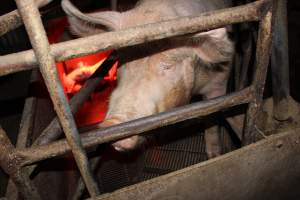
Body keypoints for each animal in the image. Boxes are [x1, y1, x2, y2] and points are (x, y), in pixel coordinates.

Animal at [61, 0, 234, 157]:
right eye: (123, 60)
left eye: (168, 65)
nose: (114, 122)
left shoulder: (220, 81)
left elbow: (212, 119)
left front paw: (214, 155)